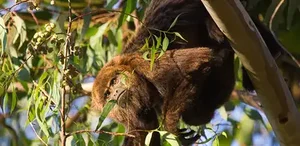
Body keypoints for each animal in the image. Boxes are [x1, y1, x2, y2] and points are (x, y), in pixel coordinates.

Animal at [92, 0, 298, 145]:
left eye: (114, 81)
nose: (115, 93)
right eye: (107, 94)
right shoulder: (137, 121)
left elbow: (198, 61)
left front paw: (171, 126)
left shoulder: (144, 63)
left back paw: (274, 53)